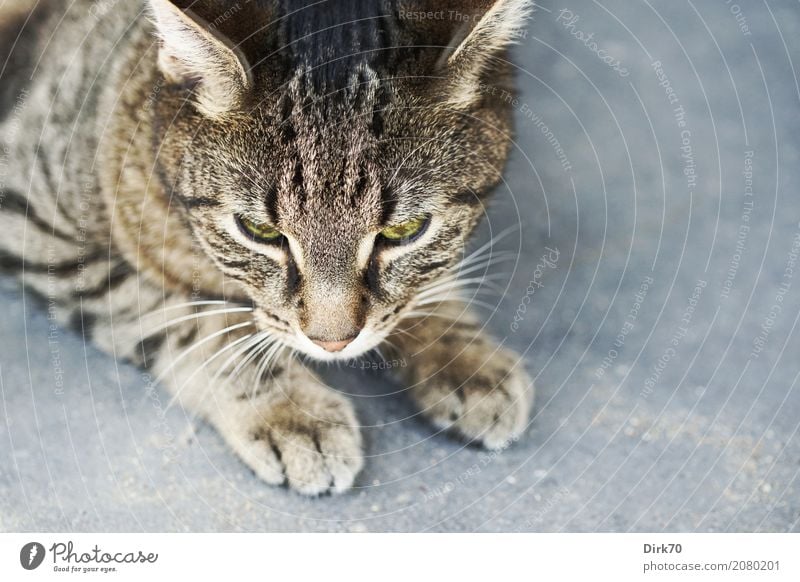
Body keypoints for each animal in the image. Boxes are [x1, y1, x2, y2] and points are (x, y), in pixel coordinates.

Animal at [1, 0, 536, 498]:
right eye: (259, 231)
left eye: (404, 230)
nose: (332, 342)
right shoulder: (37, 219)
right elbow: (203, 327)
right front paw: (290, 410)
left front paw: (461, 351)